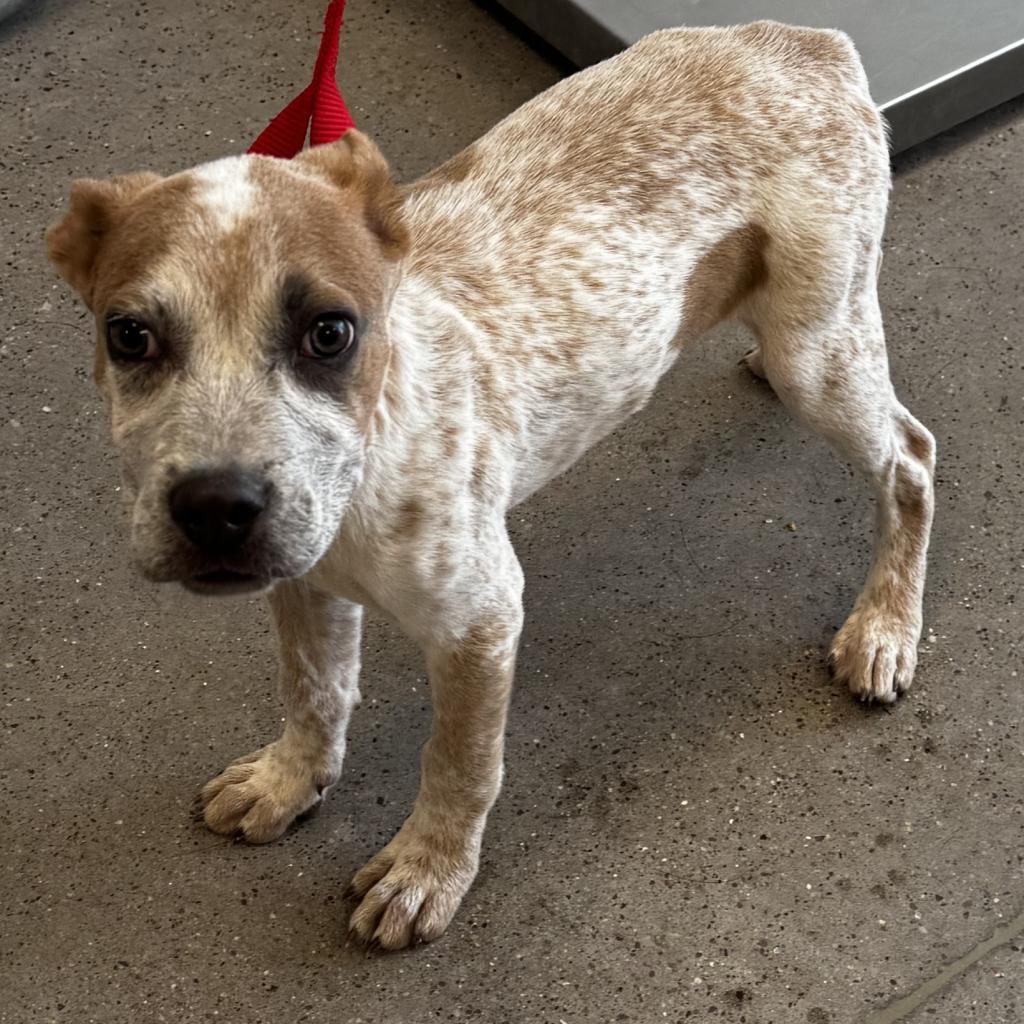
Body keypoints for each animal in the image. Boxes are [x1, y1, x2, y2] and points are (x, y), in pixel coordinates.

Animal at [48, 22, 937, 950]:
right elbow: (314, 692)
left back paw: (884, 629)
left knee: (910, 458)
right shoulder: (304, 582)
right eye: (128, 336)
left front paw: (426, 870)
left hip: (819, 355)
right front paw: (289, 782)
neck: (372, 456)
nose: (217, 508)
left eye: (330, 332)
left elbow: (459, 765)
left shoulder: (481, 619)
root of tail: (806, 40)